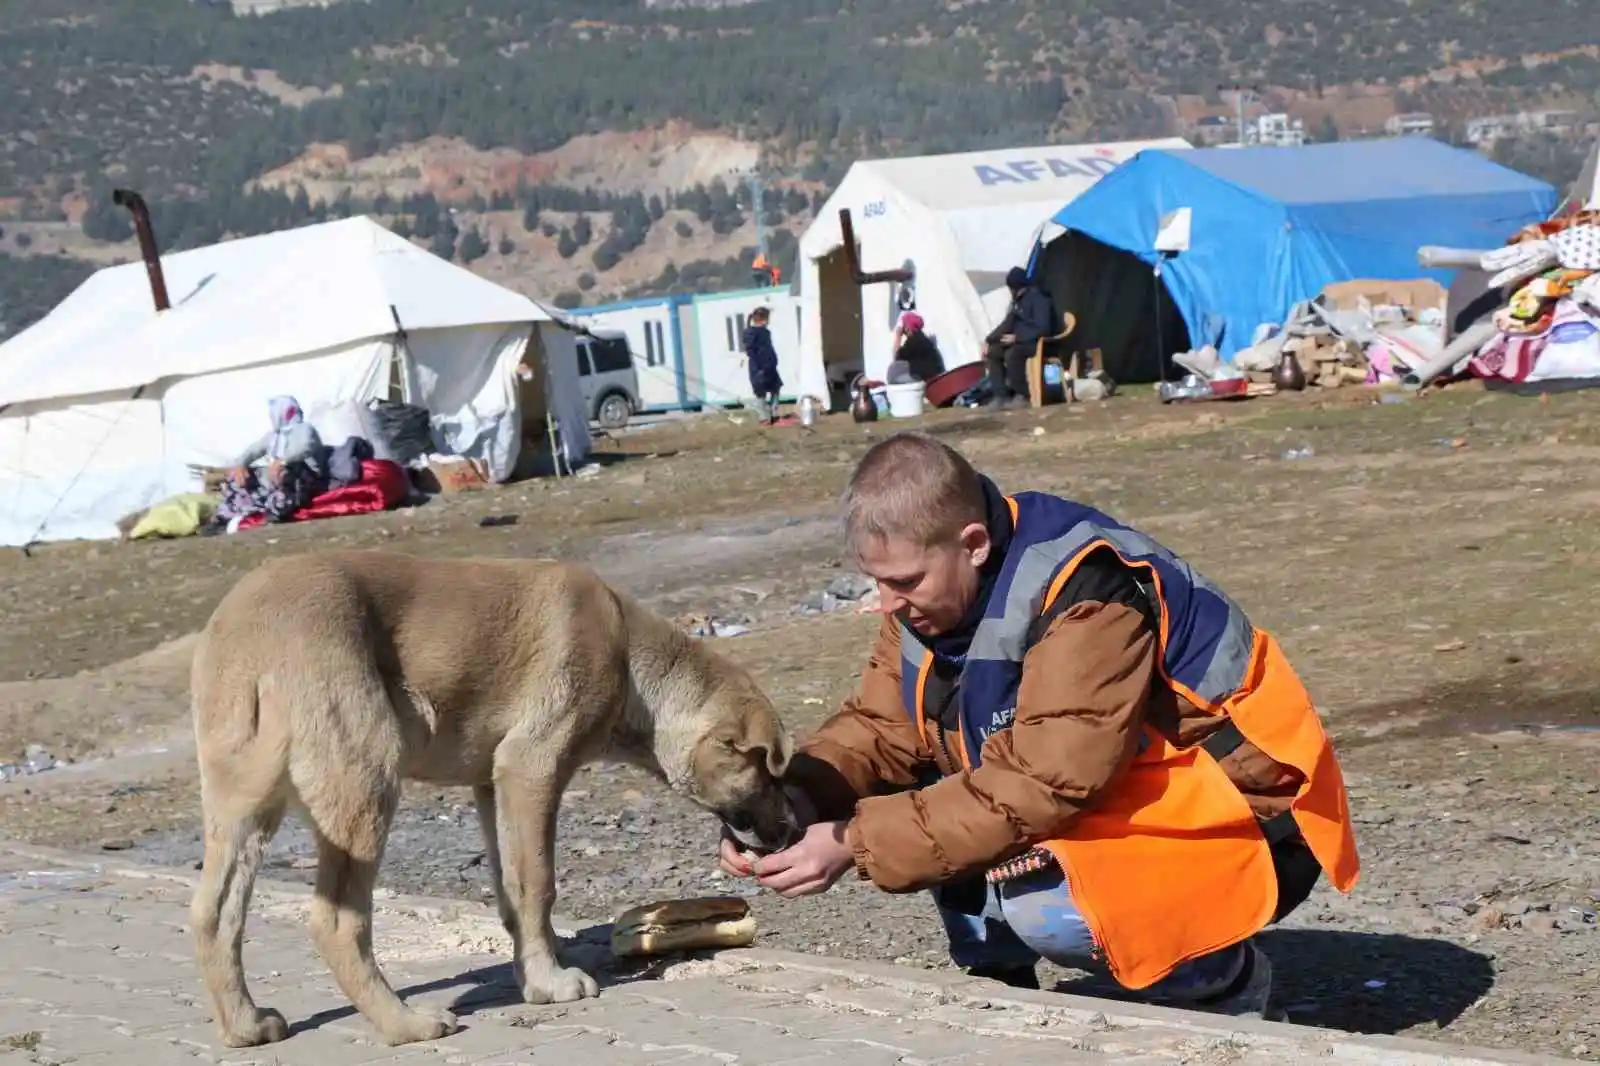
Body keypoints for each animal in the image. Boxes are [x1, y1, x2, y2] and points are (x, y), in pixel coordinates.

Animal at [190, 547, 800, 1043]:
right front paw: (551, 982)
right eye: (769, 773)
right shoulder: (531, 769)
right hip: (366, 783)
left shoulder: (491, 784)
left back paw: (245, 1026)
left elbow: (510, 889)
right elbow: (538, 885)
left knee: (214, 913)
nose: (793, 829)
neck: (633, 660)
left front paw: (535, 968)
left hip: (242, 808)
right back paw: (405, 1025)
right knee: (337, 921)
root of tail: (249, 637)